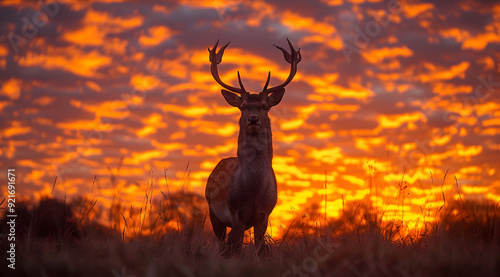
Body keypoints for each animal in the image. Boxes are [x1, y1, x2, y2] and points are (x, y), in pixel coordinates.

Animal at [204, 37, 300, 253]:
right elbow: (238, 248)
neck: (253, 192)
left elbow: (258, 248)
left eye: (265, 106)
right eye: (243, 107)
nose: (253, 119)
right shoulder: (235, 212)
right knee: (222, 244)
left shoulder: (264, 214)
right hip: (213, 213)